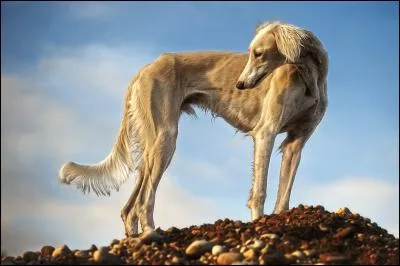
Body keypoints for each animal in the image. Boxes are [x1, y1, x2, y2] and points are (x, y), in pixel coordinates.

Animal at [59, 20, 328, 237]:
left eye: (259, 53)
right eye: (252, 53)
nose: (240, 85)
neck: (308, 77)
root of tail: (145, 68)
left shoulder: (296, 141)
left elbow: (285, 191)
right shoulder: (265, 133)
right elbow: (259, 190)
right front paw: (260, 224)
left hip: (151, 149)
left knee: (129, 208)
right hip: (166, 139)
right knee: (145, 200)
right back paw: (151, 232)